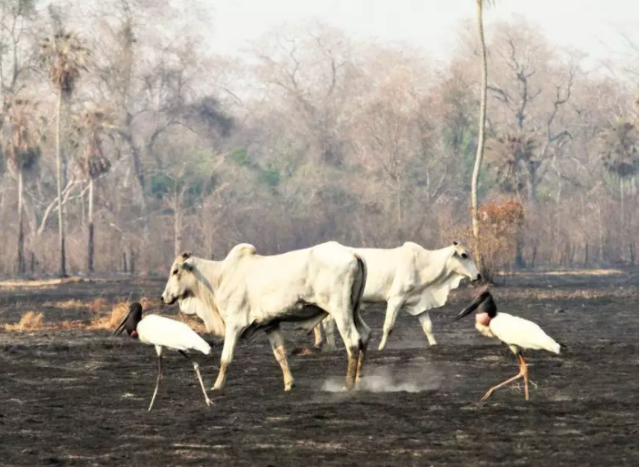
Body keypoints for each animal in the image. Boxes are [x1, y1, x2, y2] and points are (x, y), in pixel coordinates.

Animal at [159, 243, 370, 394]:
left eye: (176, 271)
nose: (163, 296)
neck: (220, 277)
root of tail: (353, 253)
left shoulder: (234, 323)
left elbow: (225, 357)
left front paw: (217, 385)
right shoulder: (270, 324)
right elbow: (280, 354)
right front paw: (289, 383)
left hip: (340, 310)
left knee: (353, 341)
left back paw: (348, 385)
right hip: (353, 309)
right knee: (365, 335)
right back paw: (360, 381)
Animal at [312, 241, 478, 352]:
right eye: (464, 255)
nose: (478, 275)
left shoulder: (418, 302)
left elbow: (428, 327)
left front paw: (434, 345)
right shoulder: (395, 299)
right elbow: (388, 326)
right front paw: (380, 348)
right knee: (328, 323)